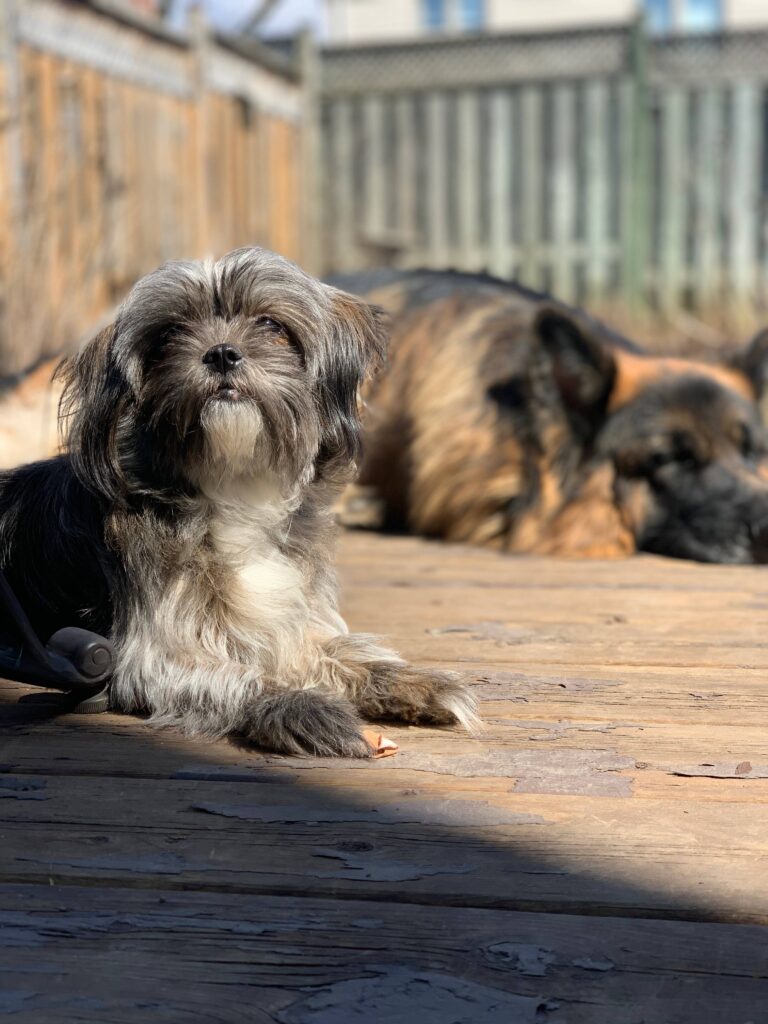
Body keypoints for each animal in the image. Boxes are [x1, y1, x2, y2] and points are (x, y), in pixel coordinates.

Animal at [0, 246, 479, 757]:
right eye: (170, 333)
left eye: (270, 324)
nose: (222, 354)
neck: (234, 486)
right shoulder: (155, 654)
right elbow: (239, 676)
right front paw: (302, 707)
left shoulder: (291, 621)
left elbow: (338, 651)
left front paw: (411, 682)